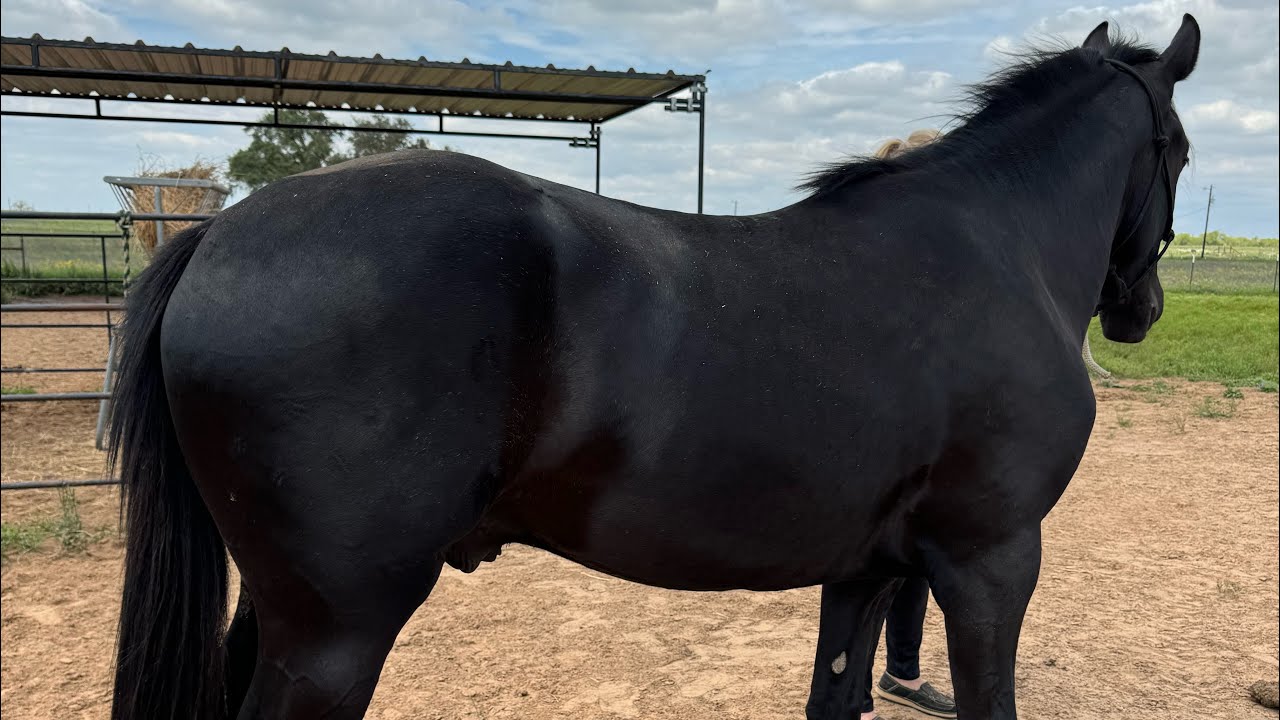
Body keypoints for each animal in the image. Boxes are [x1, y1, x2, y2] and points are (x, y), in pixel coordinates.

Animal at [107, 16, 1199, 720]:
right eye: (1182, 151)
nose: (1140, 309)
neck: (991, 246)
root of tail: (218, 235)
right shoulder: (989, 564)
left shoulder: (863, 571)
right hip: (334, 635)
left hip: (278, 612)